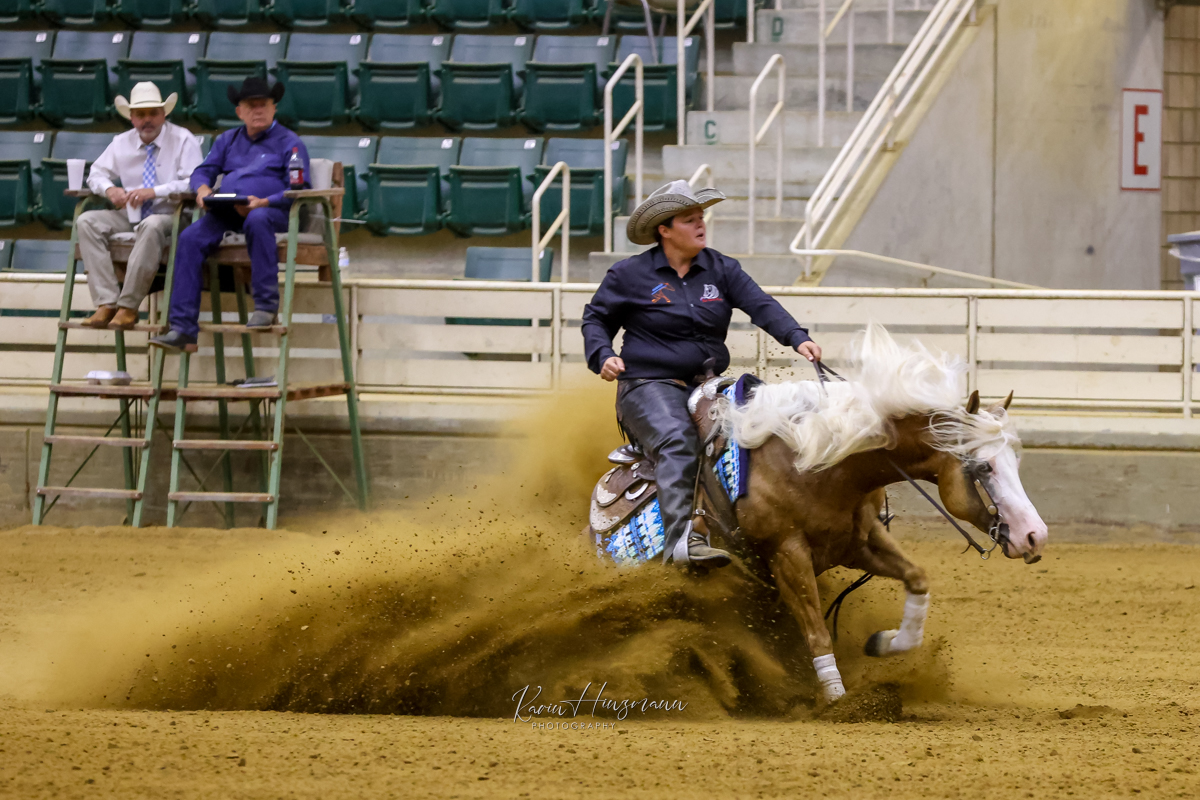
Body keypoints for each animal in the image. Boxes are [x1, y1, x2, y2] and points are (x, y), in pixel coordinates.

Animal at [587, 324, 1049, 704]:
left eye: (1015, 460)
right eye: (982, 468)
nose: (1035, 535)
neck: (817, 458)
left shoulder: (858, 542)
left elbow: (917, 579)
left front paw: (884, 643)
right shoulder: (788, 555)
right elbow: (817, 632)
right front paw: (838, 700)